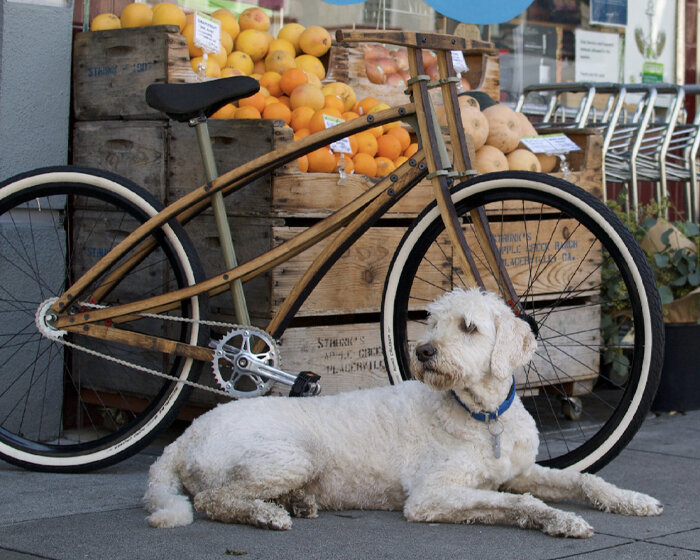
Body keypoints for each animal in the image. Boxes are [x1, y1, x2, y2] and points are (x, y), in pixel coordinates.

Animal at [144, 288, 660, 540]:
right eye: (430, 320)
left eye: (468, 326)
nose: (424, 351)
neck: (483, 416)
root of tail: (181, 440)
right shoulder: (432, 496)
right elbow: (520, 504)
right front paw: (558, 520)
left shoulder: (518, 471)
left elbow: (584, 480)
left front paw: (631, 500)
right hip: (291, 456)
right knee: (214, 499)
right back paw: (267, 515)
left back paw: (297, 503)